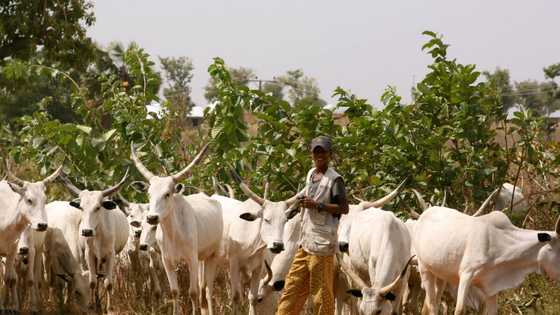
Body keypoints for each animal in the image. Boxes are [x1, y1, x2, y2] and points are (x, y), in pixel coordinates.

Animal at [0, 165, 61, 312]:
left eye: (44, 200)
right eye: (29, 200)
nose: (42, 225)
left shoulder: (13, 252)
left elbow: (12, 279)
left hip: (38, 252)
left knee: (36, 277)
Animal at [60, 172, 129, 312]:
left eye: (97, 207)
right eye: (81, 208)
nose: (86, 231)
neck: (99, 234)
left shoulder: (110, 255)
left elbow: (108, 283)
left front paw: (109, 308)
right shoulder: (89, 254)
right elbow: (92, 281)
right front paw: (92, 305)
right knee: (96, 277)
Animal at [131, 144, 223, 315]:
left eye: (167, 194)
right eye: (149, 194)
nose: (151, 217)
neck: (174, 234)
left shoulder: (191, 259)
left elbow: (193, 292)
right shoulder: (167, 261)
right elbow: (174, 291)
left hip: (211, 256)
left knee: (207, 290)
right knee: (202, 287)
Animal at [414, 207, 560, 315]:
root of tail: (424, 214)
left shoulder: (492, 289)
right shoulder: (466, 275)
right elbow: (459, 310)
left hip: (441, 276)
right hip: (424, 268)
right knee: (432, 306)